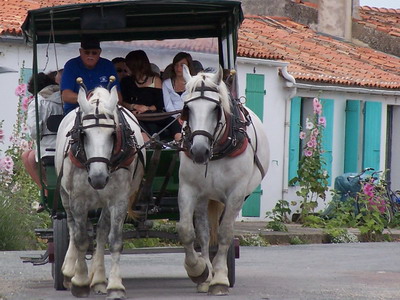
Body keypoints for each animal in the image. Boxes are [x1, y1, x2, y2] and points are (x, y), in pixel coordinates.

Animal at [55, 85, 145, 298]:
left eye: (113, 135)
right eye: (83, 135)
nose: (98, 178)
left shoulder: (119, 200)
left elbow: (114, 240)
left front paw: (115, 285)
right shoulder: (78, 199)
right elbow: (80, 239)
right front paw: (79, 281)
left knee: (102, 231)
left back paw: (98, 279)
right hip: (64, 195)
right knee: (72, 227)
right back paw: (69, 271)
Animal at [177, 65, 268, 296]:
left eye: (215, 108)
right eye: (187, 109)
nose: (199, 151)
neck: (216, 150)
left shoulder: (236, 193)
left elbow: (226, 234)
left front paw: (219, 278)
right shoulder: (188, 189)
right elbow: (187, 231)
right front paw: (198, 270)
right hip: (204, 198)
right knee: (204, 233)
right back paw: (205, 275)